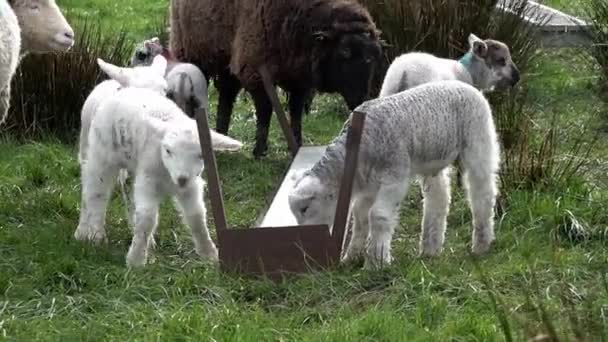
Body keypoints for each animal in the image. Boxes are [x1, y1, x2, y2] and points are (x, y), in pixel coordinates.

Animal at [72, 85, 241, 268]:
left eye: (201, 155)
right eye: (168, 150)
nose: (182, 179)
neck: (168, 174)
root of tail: (120, 89)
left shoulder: (191, 185)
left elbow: (196, 216)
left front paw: (209, 254)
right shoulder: (148, 181)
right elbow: (147, 218)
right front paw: (136, 260)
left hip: (132, 166)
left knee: (127, 194)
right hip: (101, 155)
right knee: (94, 192)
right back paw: (92, 233)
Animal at [169, 0, 384, 158]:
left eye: (373, 56)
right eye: (344, 53)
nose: (361, 101)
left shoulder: (300, 79)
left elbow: (296, 112)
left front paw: (297, 144)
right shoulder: (255, 69)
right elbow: (265, 111)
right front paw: (259, 151)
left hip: (226, 58)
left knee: (226, 96)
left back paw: (221, 132)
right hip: (192, 49)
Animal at [288, 80, 502, 270]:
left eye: (305, 208)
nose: (305, 247)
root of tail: (467, 85)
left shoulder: (395, 176)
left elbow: (378, 215)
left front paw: (376, 263)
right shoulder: (369, 182)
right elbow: (360, 215)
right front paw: (352, 257)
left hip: (478, 140)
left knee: (482, 193)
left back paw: (481, 244)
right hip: (432, 159)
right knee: (438, 198)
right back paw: (430, 249)